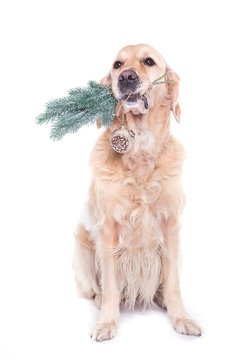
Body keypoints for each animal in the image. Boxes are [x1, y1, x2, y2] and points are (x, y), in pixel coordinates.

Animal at [72, 43, 201, 342]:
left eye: (149, 61)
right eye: (117, 64)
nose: (126, 77)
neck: (140, 147)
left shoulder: (171, 225)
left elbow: (174, 283)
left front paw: (181, 317)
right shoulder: (107, 228)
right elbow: (110, 284)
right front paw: (106, 322)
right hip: (83, 241)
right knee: (95, 288)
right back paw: (99, 300)